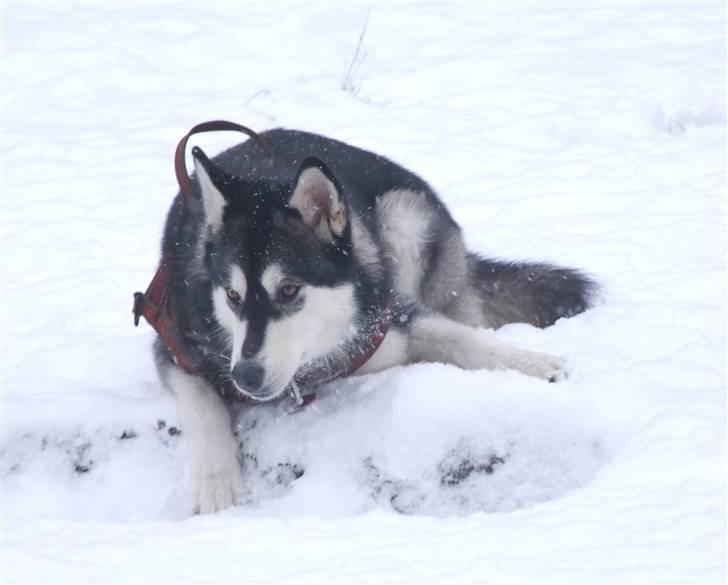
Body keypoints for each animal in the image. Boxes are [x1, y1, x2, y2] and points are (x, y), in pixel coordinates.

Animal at [152, 128, 596, 512]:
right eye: (232, 295)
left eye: (289, 290)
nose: (245, 376)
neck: (311, 368)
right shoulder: (173, 344)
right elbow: (201, 402)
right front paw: (217, 483)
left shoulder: (388, 321)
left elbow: (462, 339)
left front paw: (534, 363)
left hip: (405, 218)